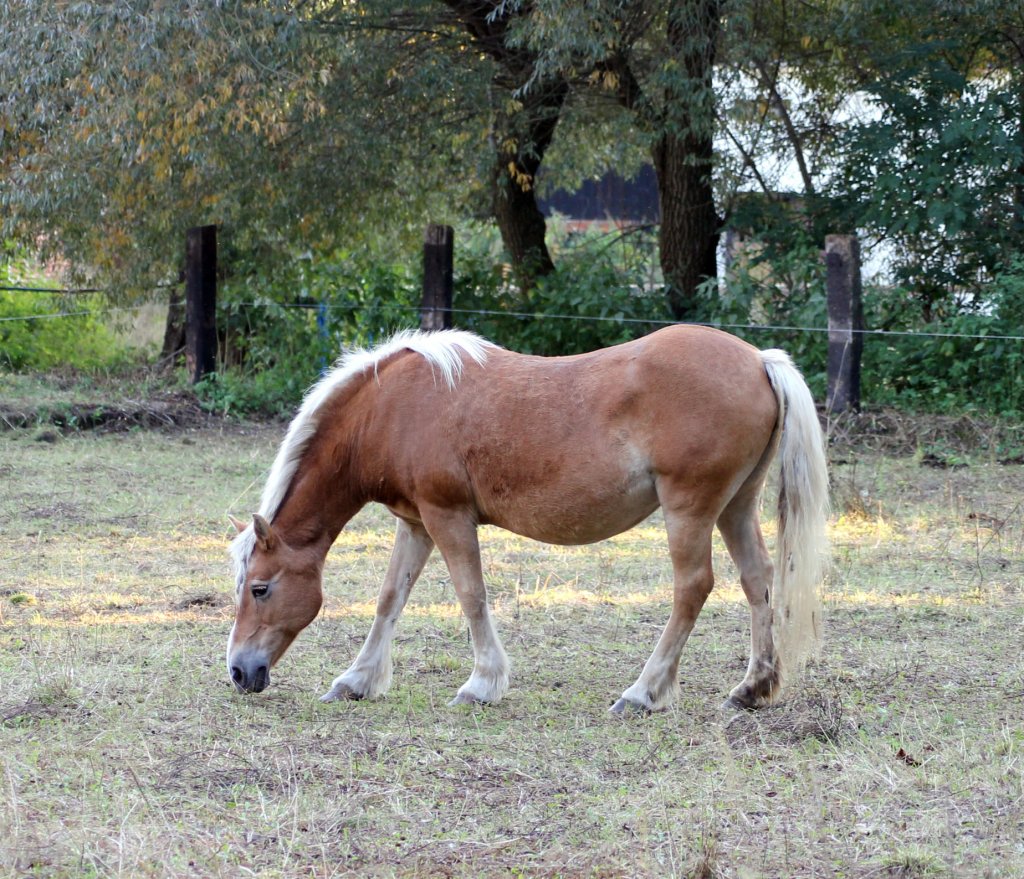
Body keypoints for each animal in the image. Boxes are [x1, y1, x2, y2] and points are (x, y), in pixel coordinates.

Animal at [228, 323, 827, 713]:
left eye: (259, 588)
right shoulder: (416, 522)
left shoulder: (447, 517)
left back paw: (643, 692)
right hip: (736, 506)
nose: (239, 670)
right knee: (757, 580)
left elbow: (471, 595)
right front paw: (357, 680)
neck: (395, 407)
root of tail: (759, 360)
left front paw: (482, 684)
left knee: (693, 588)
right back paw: (753, 688)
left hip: (690, 510)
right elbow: (390, 598)